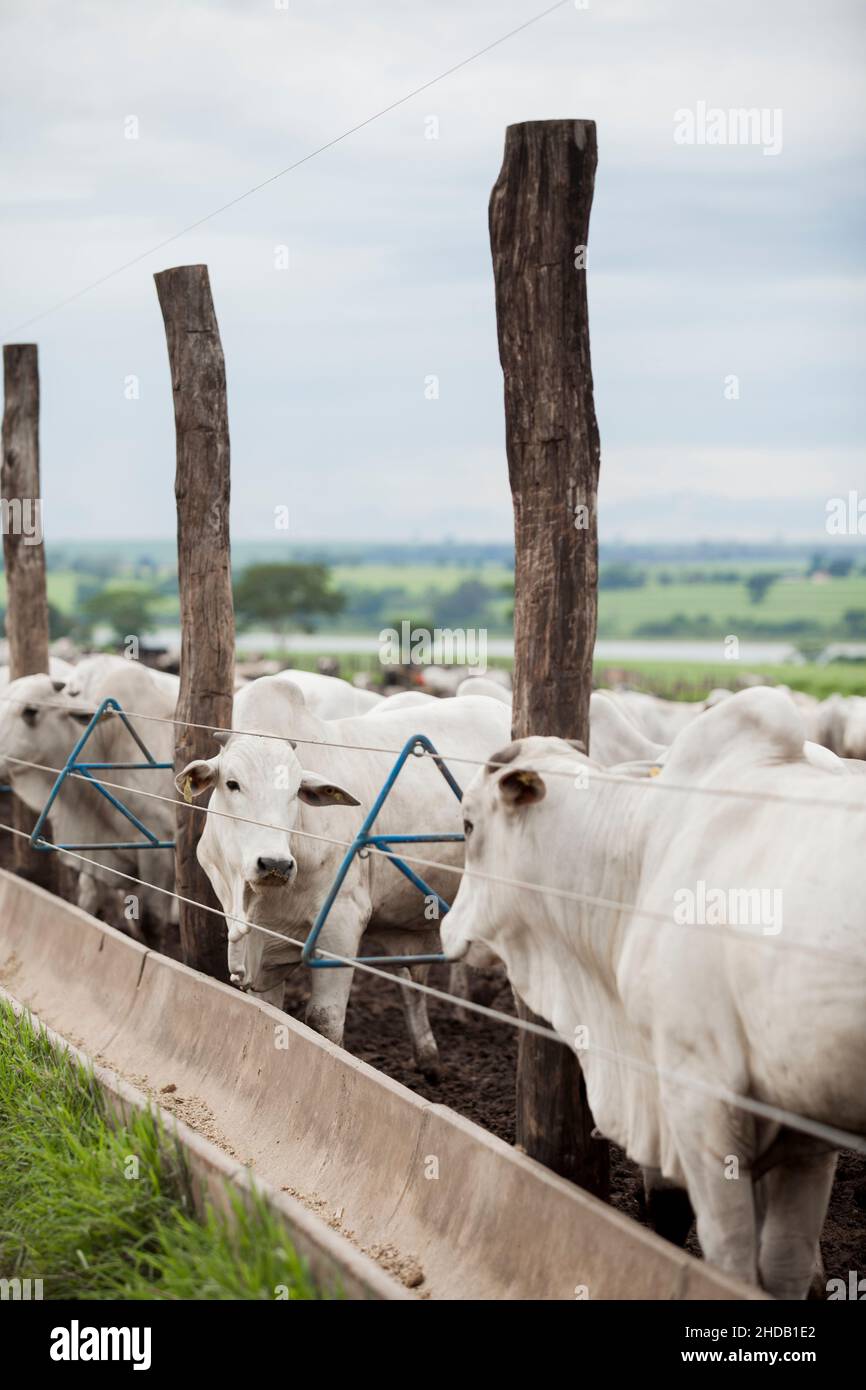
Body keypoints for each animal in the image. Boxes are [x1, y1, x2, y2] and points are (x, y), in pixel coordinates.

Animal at [177, 676, 512, 1077]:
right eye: (232, 783)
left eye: (295, 792)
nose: (274, 863)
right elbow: (272, 1011)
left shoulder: (341, 923)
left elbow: (324, 1020)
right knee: (412, 984)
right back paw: (429, 1059)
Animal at [440, 687, 866, 1298]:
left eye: (469, 824)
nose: (446, 927)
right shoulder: (804, 1133)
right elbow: (781, 1263)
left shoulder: (698, 1100)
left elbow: (729, 1258)